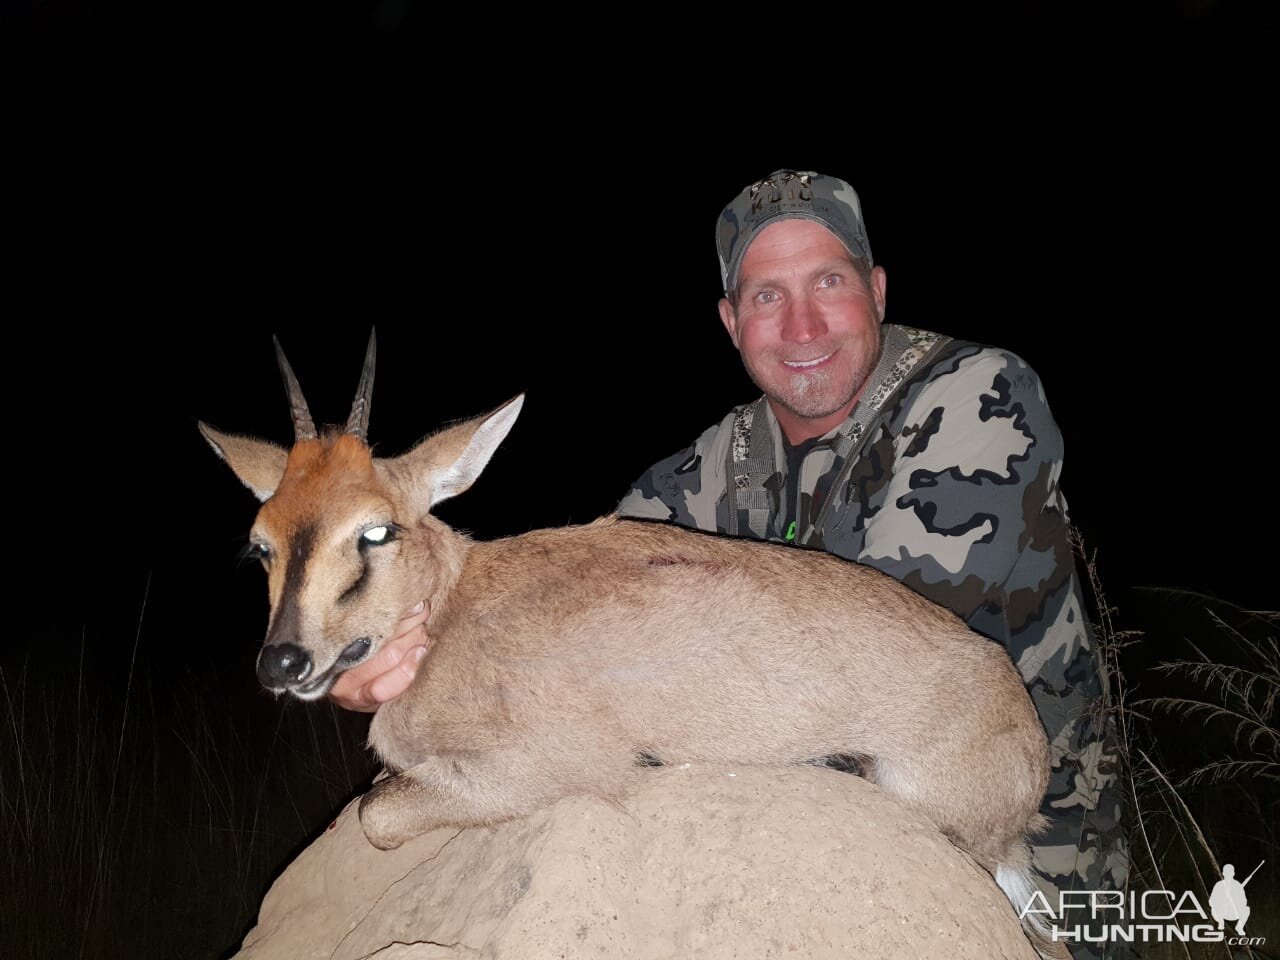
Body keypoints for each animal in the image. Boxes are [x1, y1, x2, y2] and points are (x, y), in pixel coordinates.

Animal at [199, 335, 1054, 957]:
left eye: (375, 530)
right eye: (262, 541)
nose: (282, 662)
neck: (453, 612)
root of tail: (1021, 721)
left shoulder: (549, 770)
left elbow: (377, 815)